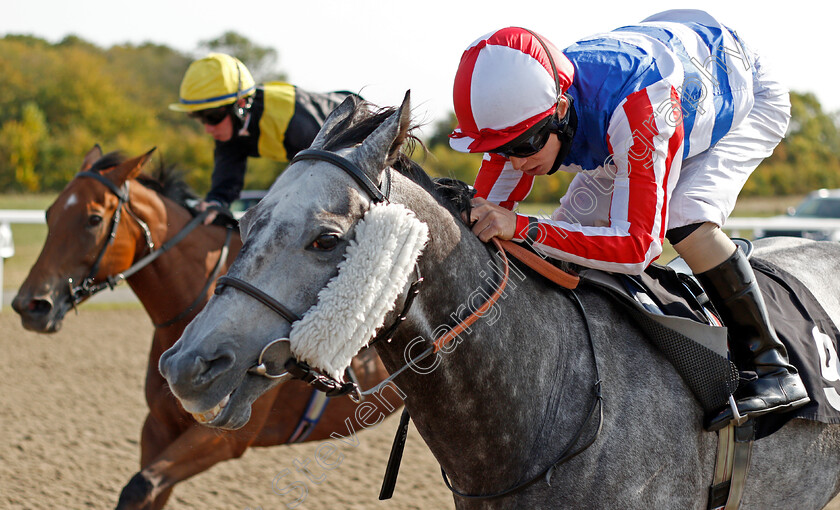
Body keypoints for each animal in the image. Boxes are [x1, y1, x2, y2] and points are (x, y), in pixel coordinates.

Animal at [11, 145, 396, 508]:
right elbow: (147, 489)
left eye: (93, 219)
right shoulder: (160, 426)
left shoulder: (226, 435)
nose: (30, 305)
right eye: (49, 214)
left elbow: (140, 486)